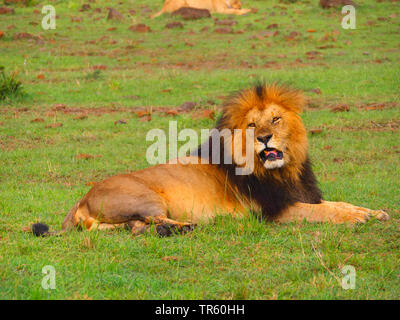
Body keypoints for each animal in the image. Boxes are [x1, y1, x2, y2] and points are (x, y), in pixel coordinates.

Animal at [32, 84, 390, 238]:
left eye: (275, 120)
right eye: (251, 125)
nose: (264, 138)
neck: (283, 172)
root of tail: (81, 199)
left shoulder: (299, 195)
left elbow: (338, 203)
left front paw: (374, 212)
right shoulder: (275, 211)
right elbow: (324, 212)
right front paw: (358, 218)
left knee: (136, 227)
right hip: (146, 196)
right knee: (152, 221)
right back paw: (193, 225)